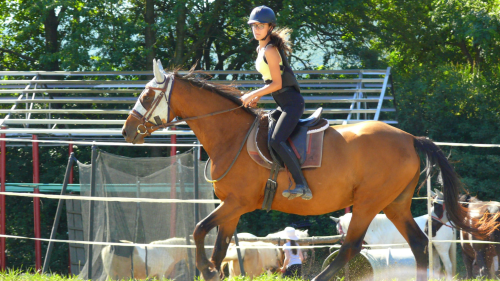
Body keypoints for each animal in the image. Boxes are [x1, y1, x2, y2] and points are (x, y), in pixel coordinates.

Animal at [120, 59, 496, 280]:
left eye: (147, 95)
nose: (126, 130)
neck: (231, 136)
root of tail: (409, 138)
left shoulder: (237, 204)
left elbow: (199, 230)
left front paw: (206, 270)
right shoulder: (231, 209)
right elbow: (219, 246)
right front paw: (212, 270)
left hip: (369, 204)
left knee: (349, 249)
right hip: (395, 204)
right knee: (418, 246)